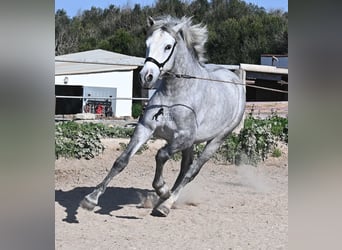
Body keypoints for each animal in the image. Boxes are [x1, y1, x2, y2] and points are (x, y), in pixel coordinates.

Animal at [80, 15, 246, 217]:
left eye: (168, 46)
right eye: (147, 44)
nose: (146, 76)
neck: (174, 96)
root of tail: (235, 80)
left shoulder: (183, 137)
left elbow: (161, 155)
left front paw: (162, 189)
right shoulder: (145, 128)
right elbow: (122, 161)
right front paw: (91, 198)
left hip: (216, 141)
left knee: (191, 172)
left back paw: (166, 204)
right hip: (191, 144)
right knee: (185, 168)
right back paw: (163, 202)